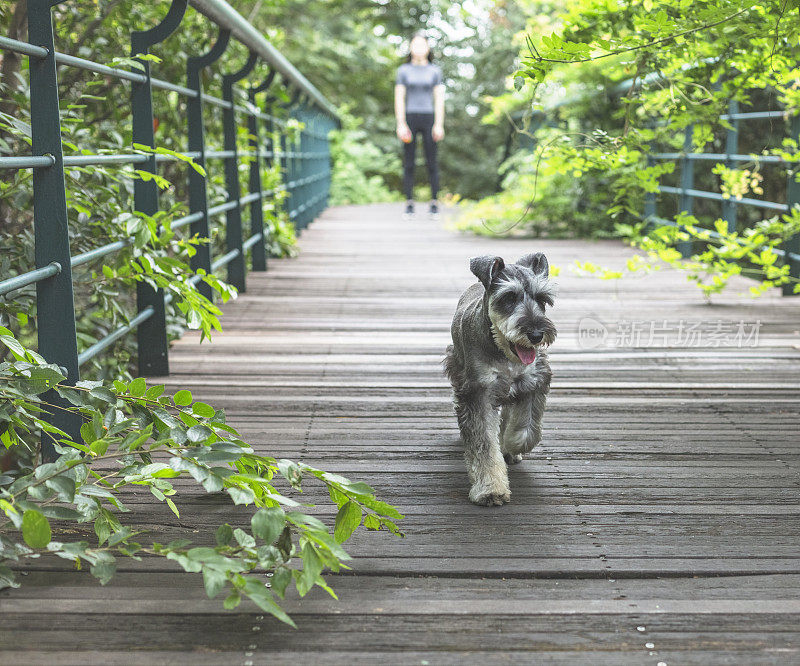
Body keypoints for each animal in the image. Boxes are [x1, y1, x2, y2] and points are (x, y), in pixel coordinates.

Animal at [444, 253, 556, 504]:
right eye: (509, 297)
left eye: (542, 299)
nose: (536, 334)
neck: (503, 352)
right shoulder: (477, 393)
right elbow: (484, 443)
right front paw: (490, 489)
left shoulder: (534, 382)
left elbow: (527, 428)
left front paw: (511, 445)